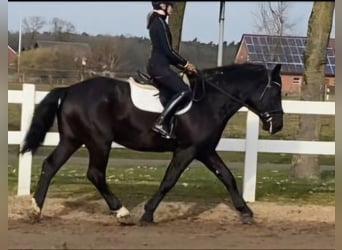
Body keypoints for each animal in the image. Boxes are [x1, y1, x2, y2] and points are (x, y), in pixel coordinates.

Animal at [20, 62, 284, 225]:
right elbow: (169, 180)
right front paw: (147, 214)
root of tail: (69, 90)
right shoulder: (187, 150)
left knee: (50, 166)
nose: (277, 125)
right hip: (99, 141)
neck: (208, 101)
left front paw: (246, 212)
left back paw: (35, 210)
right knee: (95, 174)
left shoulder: (205, 150)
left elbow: (227, 177)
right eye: (276, 92)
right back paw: (122, 212)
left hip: (72, 139)